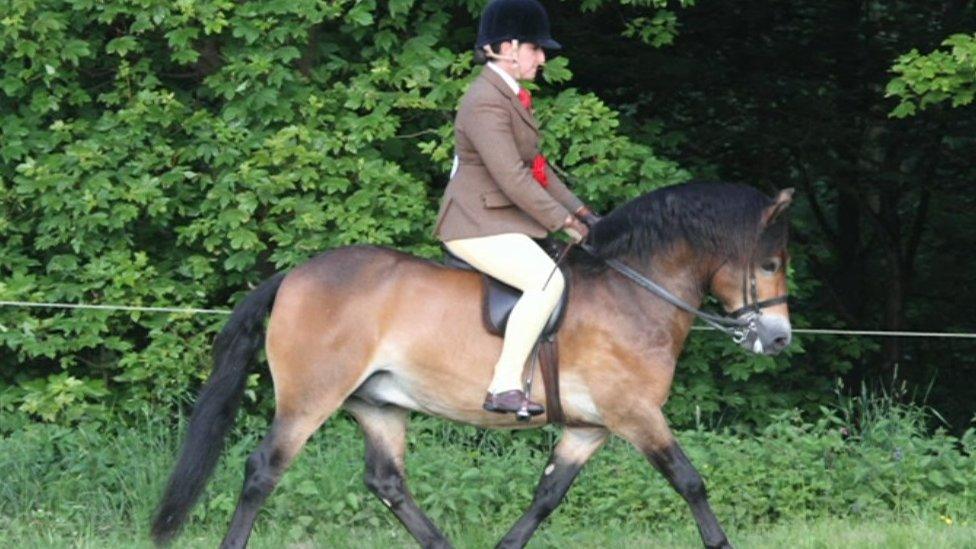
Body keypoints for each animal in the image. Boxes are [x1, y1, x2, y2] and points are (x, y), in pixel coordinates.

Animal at [151, 181, 792, 548]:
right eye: (768, 263)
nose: (780, 338)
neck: (632, 290)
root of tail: (295, 276)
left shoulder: (590, 427)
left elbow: (547, 496)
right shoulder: (635, 414)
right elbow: (690, 481)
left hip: (378, 404)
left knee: (387, 481)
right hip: (310, 398)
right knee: (264, 471)